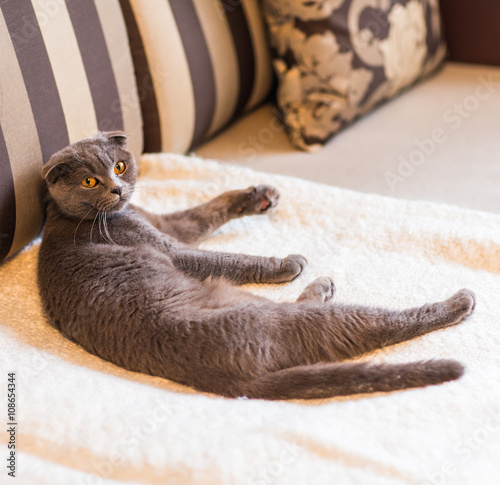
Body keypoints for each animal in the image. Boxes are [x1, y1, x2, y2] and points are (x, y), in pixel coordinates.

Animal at [37, 130, 474, 398]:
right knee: (373, 323)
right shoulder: (168, 247)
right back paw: (458, 302)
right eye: (89, 181)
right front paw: (285, 262)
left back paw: (323, 286)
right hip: (282, 320)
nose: (117, 188)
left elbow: (207, 210)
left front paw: (258, 196)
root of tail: (237, 383)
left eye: (120, 166)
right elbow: (226, 259)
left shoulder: (169, 224)